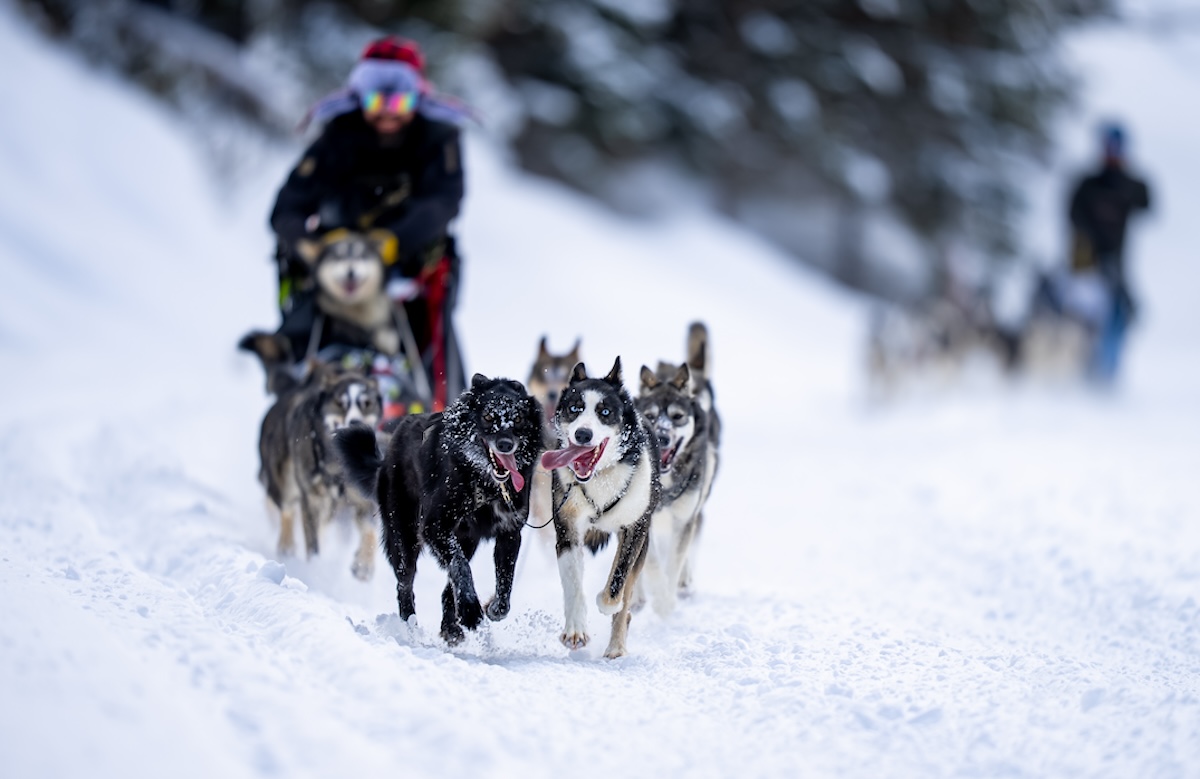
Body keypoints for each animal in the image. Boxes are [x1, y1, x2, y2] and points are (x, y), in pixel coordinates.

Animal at [338, 374, 544, 643]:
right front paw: (470, 609)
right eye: (488, 416)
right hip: (404, 537)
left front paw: (491, 608)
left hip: (466, 540)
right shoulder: (435, 526)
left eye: (518, 418)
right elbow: (460, 567)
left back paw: (451, 627)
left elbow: (504, 583)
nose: (506, 444)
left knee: (448, 587)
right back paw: (411, 627)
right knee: (405, 584)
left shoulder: (509, 533)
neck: (485, 483)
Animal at [540, 357, 662, 657]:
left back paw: (616, 647)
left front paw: (606, 602)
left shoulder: (635, 529)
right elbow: (573, 582)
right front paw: (575, 631)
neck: (600, 478)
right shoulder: (568, 526)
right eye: (574, 408)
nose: (583, 433)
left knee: (626, 600)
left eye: (605, 411)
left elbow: (617, 583)